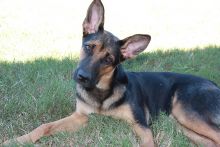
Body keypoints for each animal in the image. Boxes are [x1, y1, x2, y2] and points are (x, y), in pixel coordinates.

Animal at [3, 0, 220, 146]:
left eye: (108, 60)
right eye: (89, 47)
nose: (82, 77)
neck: (101, 91)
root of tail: (213, 83)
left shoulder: (141, 125)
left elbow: (148, 143)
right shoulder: (80, 117)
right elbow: (44, 126)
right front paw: (17, 140)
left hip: (185, 112)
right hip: (182, 124)